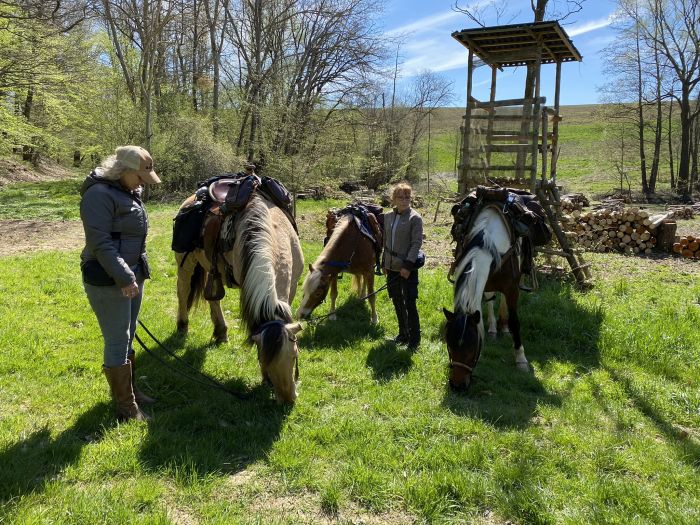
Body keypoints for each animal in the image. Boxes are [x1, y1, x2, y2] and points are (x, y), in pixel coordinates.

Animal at [174, 192, 304, 402]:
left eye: (294, 355)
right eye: (263, 359)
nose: (287, 399)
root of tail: (192, 197)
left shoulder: (292, 288)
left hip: (212, 269)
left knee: (213, 299)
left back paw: (221, 332)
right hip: (186, 263)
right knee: (183, 291)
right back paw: (182, 326)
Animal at [442, 205, 532, 388]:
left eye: (473, 347)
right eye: (449, 344)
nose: (457, 385)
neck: (486, 245)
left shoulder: (512, 288)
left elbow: (515, 321)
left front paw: (521, 359)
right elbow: (488, 302)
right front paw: (491, 328)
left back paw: (503, 326)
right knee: (491, 299)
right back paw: (493, 328)